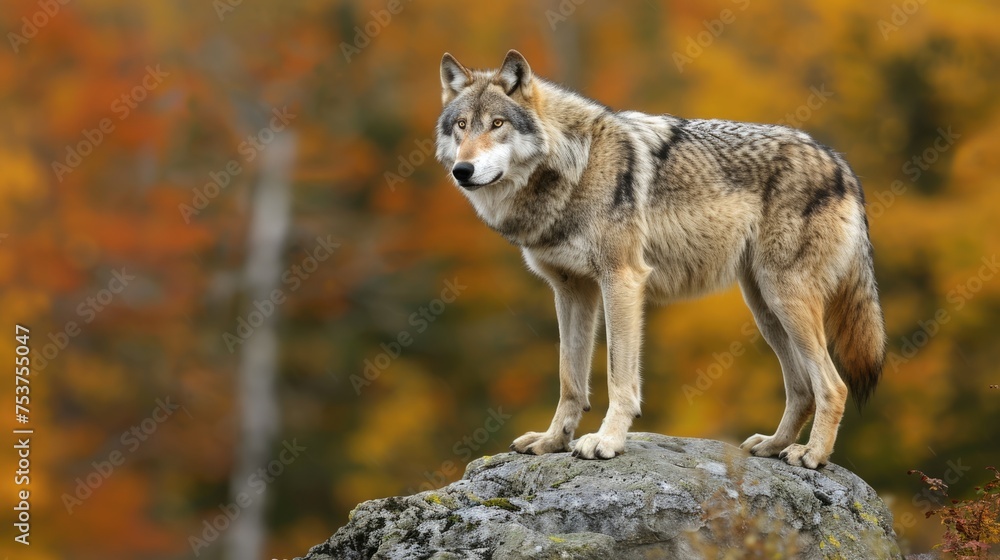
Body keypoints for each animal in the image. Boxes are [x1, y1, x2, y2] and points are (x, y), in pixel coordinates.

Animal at [434, 50, 885, 469]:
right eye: (462, 125)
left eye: (497, 124)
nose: (462, 170)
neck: (575, 165)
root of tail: (840, 164)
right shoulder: (571, 290)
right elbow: (570, 380)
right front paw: (552, 441)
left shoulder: (622, 279)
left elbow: (618, 376)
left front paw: (606, 441)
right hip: (766, 310)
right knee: (803, 389)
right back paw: (774, 445)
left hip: (784, 300)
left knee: (833, 385)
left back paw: (812, 454)